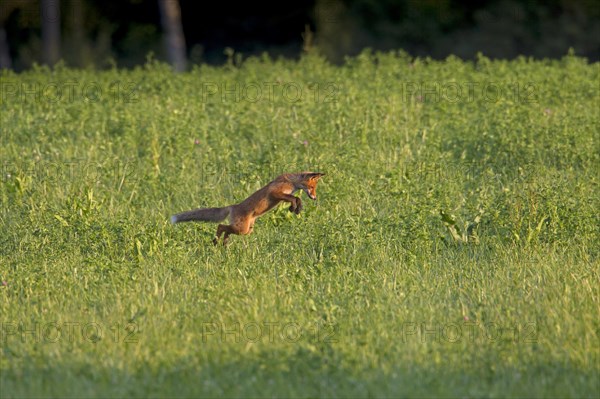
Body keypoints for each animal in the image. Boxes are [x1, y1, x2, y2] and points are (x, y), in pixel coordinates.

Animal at [171, 173, 326, 245]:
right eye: (312, 187)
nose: (315, 198)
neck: (291, 182)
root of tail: (233, 206)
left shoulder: (284, 195)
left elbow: (297, 198)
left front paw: (297, 208)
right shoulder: (276, 193)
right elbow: (293, 198)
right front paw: (294, 208)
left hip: (246, 230)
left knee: (226, 230)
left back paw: (223, 244)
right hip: (242, 229)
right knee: (221, 226)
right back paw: (216, 242)